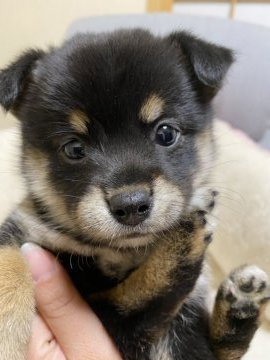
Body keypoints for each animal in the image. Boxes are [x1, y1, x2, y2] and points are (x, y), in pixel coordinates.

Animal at [0, 28, 268, 360]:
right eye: (73, 148)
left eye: (166, 133)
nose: (130, 205)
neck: (122, 251)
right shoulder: (25, 231)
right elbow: (9, 268)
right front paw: (6, 342)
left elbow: (143, 301)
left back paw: (239, 304)